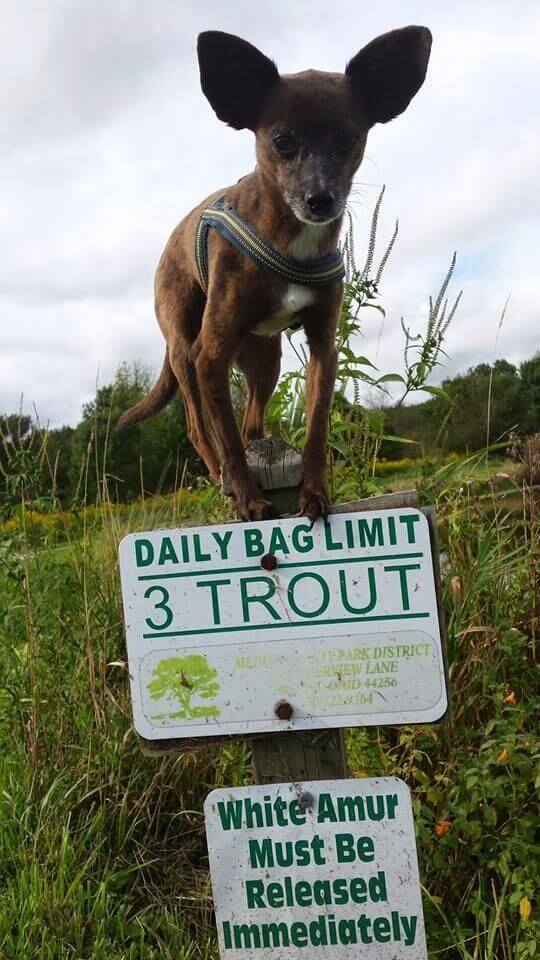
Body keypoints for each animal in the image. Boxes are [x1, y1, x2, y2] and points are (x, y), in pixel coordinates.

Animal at [117, 30, 430, 520]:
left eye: (348, 137)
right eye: (283, 140)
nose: (320, 199)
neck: (290, 239)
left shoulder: (323, 347)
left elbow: (316, 427)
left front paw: (315, 492)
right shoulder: (210, 355)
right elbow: (223, 435)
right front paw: (248, 498)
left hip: (266, 359)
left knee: (250, 423)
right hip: (186, 352)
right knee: (200, 428)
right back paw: (222, 478)